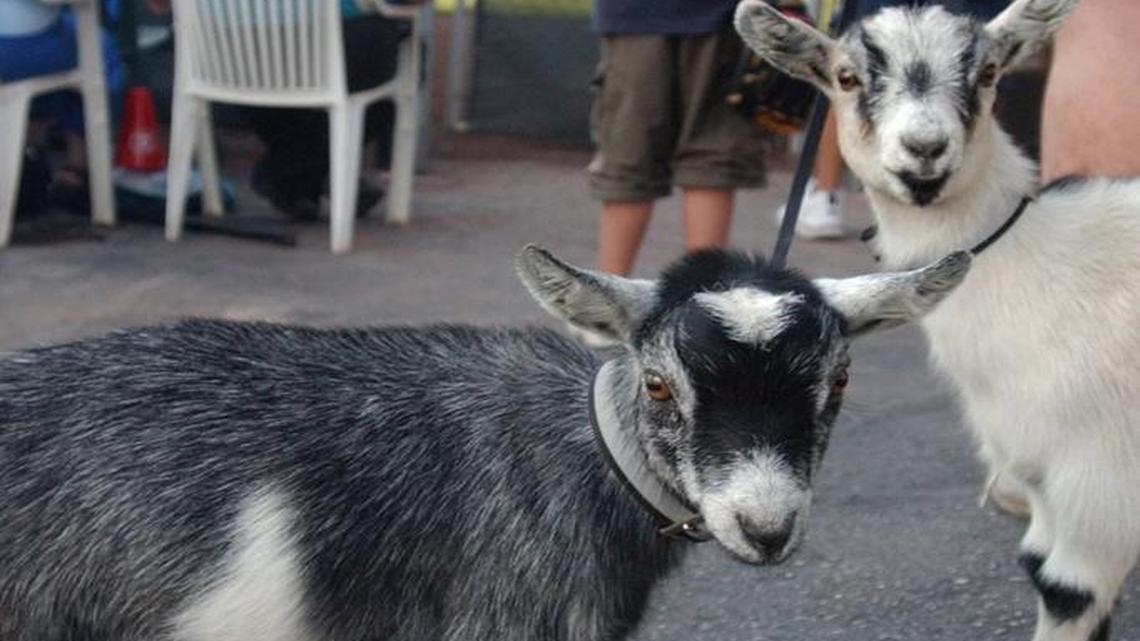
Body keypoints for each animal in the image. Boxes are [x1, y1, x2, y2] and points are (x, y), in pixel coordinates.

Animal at [736, 1, 1140, 640]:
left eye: (990, 71)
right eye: (846, 77)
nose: (924, 147)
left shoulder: (1101, 485)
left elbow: (1068, 590)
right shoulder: (1045, 479)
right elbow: (1039, 564)